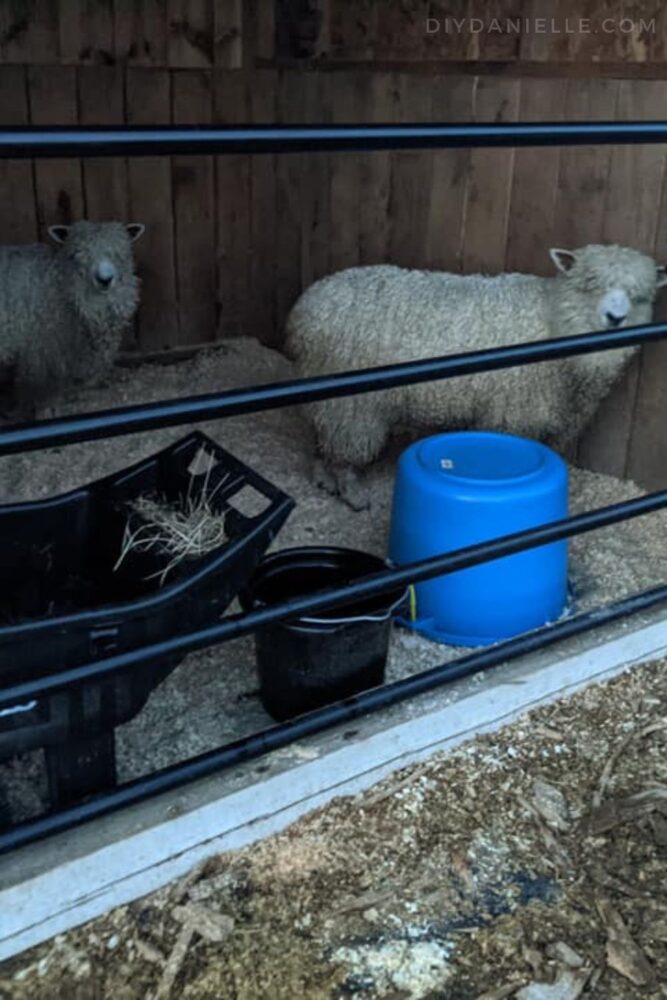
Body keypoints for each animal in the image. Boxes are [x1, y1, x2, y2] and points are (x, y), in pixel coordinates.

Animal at [0, 220, 145, 418]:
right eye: (78, 253)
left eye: (120, 252)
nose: (105, 279)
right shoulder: (41, 349)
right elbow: (38, 387)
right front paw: (44, 410)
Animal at [288, 242, 667, 508]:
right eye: (590, 285)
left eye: (639, 296)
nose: (616, 318)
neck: (552, 320)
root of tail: (307, 307)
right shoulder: (513, 415)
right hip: (353, 405)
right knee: (345, 449)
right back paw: (352, 492)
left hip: (330, 396)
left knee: (324, 439)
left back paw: (323, 478)